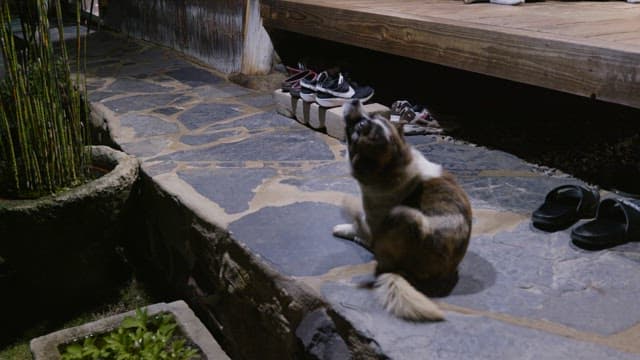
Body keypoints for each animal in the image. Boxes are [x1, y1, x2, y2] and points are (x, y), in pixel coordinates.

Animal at [332, 100, 472, 320]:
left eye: (361, 125)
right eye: (374, 117)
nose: (355, 101)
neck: (395, 164)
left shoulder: (372, 221)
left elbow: (359, 226)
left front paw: (346, 228)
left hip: (406, 217)